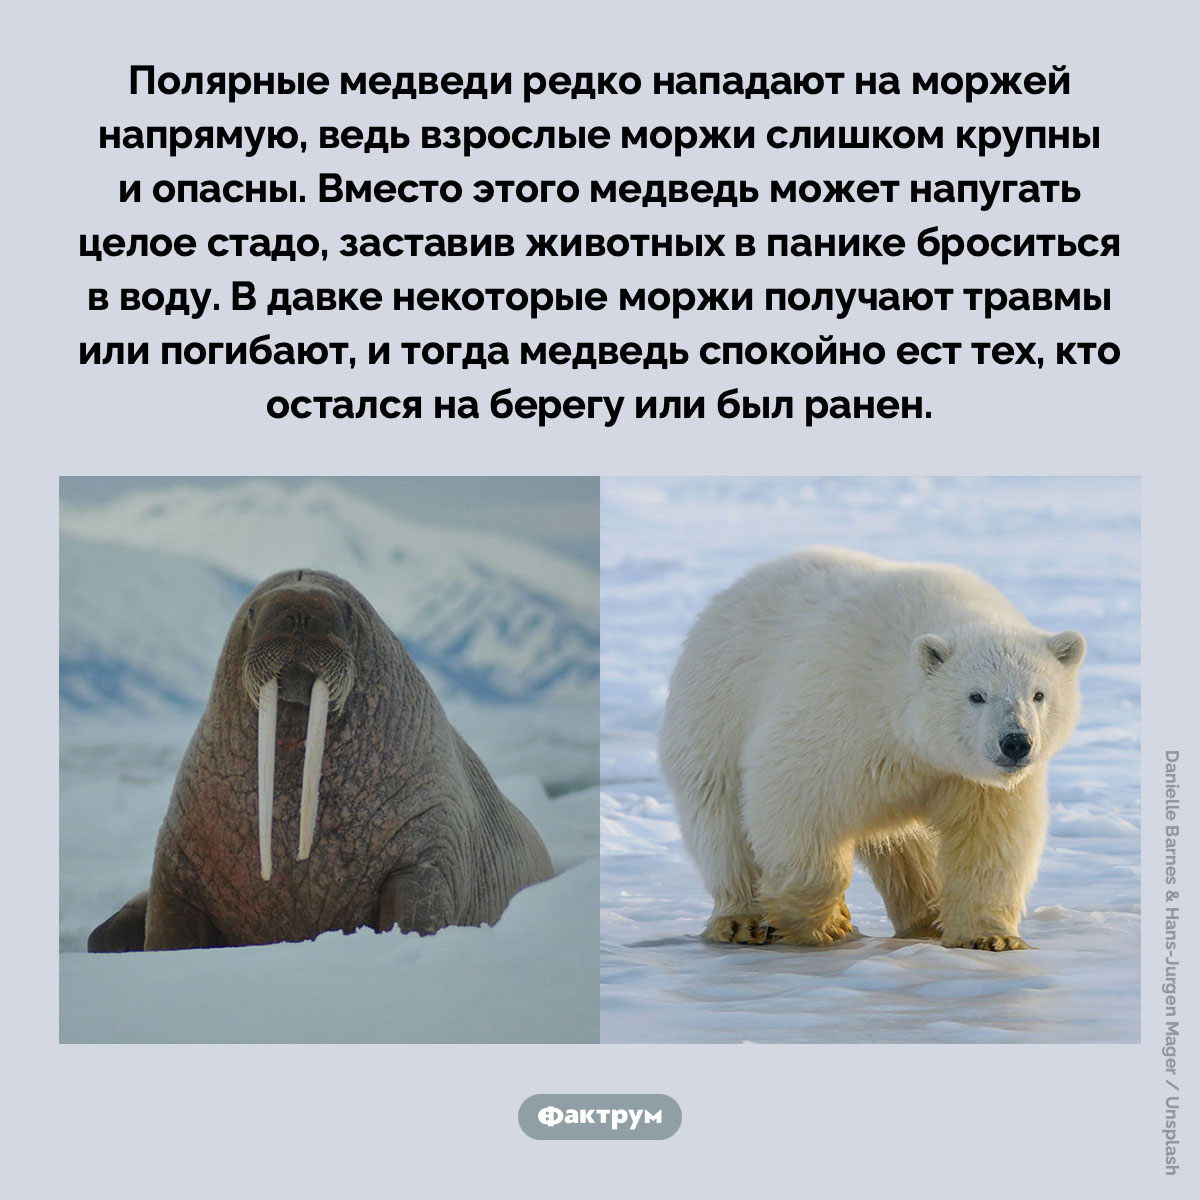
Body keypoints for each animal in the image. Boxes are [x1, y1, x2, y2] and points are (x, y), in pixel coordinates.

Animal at [658, 547, 1086, 952]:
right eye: (976, 695)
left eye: (1039, 694)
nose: (1015, 743)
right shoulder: (840, 710)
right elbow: (794, 797)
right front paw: (826, 923)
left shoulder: (968, 777)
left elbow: (989, 839)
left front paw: (991, 937)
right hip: (716, 712)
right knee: (721, 821)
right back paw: (740, 921)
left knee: (907, 848)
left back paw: (926, 917)